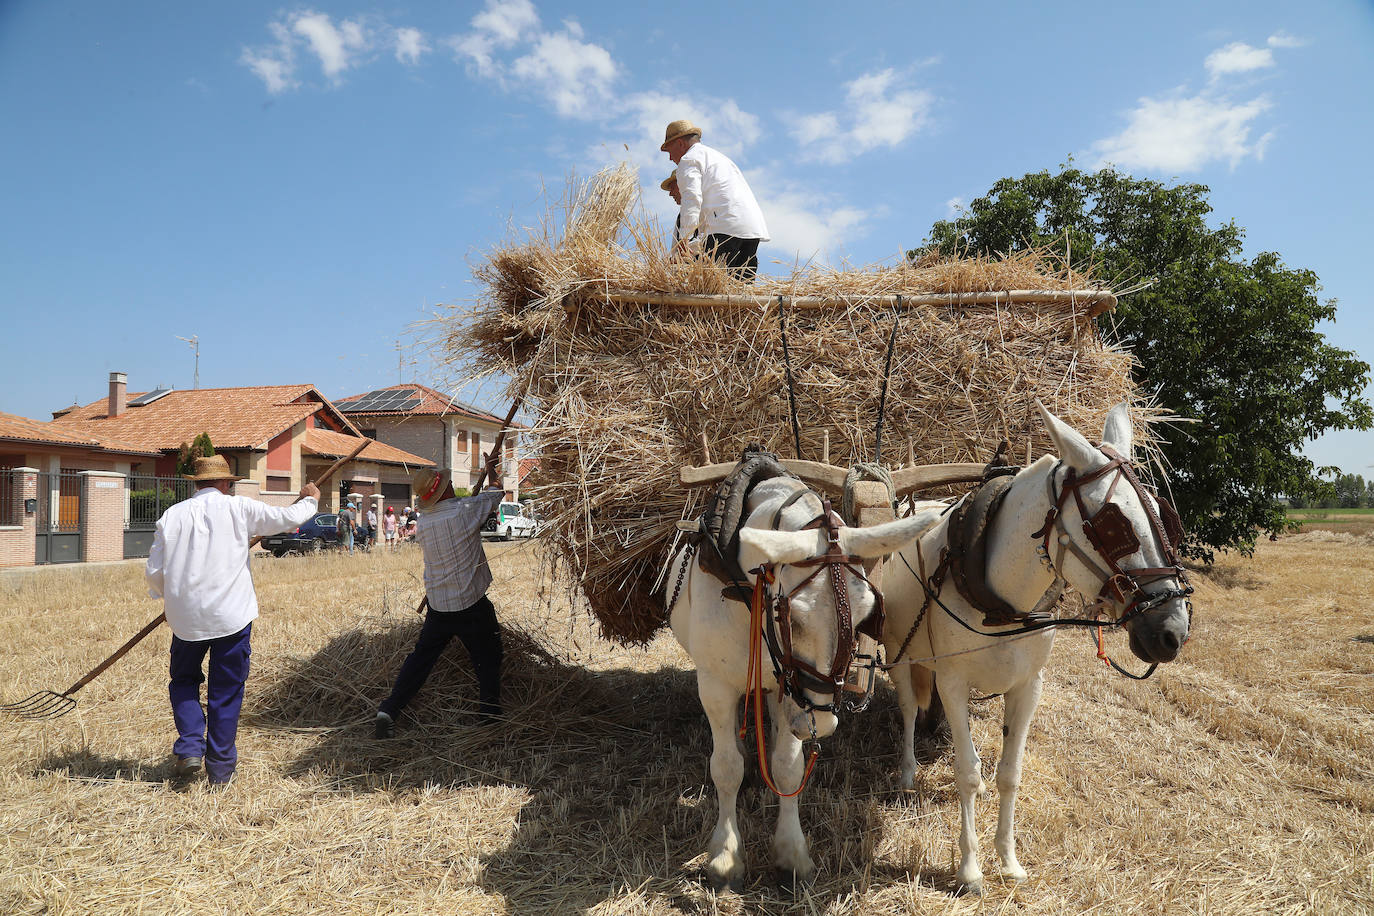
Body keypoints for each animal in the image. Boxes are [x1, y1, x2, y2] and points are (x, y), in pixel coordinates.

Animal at [667, 477, 934, 889]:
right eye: (793, 618)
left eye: (866, 616)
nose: (823, 722)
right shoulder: (715, 687)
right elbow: (726, 768)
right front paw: (725, 856)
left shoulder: (790, 686)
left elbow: (788, 767)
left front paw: (791, 851)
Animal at [879, 403, 1192, 895]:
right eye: (1114, 524)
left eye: (1164, 515)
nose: (1173, 630)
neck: (1001, 596)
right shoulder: (952, 681)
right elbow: (968, 773)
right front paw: (970, 870)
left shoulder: (1028, 686)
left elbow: (1009, 773)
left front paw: (1007, 860)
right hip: (900, 651)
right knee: (909, 707)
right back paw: (908, 773)